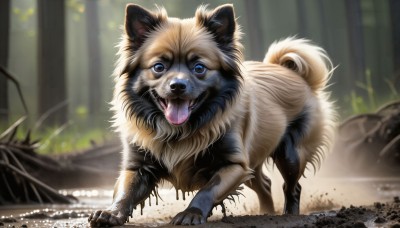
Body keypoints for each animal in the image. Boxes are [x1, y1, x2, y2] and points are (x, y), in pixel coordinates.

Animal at [89, 3, 336, 226]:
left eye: (199, 68)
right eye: (159, 67)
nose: (177, 86)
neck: (179, 130)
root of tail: (293, 73)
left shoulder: (233, 165)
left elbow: (208, 189)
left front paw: (192, 213)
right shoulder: (138, 167)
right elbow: (125, 192)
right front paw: (111, 213)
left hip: (290, 155)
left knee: (292, 186)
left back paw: (288, 214)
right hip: (253, 163)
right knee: (265, 184)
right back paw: (267, 212)